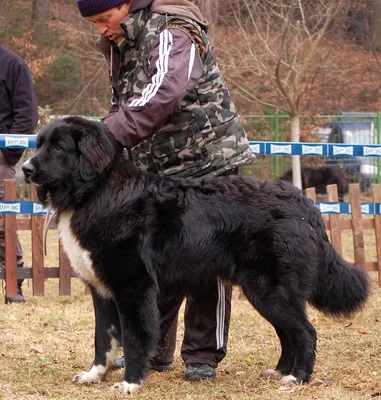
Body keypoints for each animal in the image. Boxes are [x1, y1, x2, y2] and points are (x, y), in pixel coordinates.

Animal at [22, 116, 366, 394]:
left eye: (58, 149)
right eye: (39, 145)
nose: (26, 169)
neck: (97, 191)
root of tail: (305, 205)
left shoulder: (133, 289)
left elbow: (133, 338)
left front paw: (130, 383)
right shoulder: (102, 290)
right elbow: (102, 338)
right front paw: (95, 375)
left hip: (270, 290)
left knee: (305, 333)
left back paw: (298, 378)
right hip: (265, 293)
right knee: (288, 333)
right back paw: (280, 371)